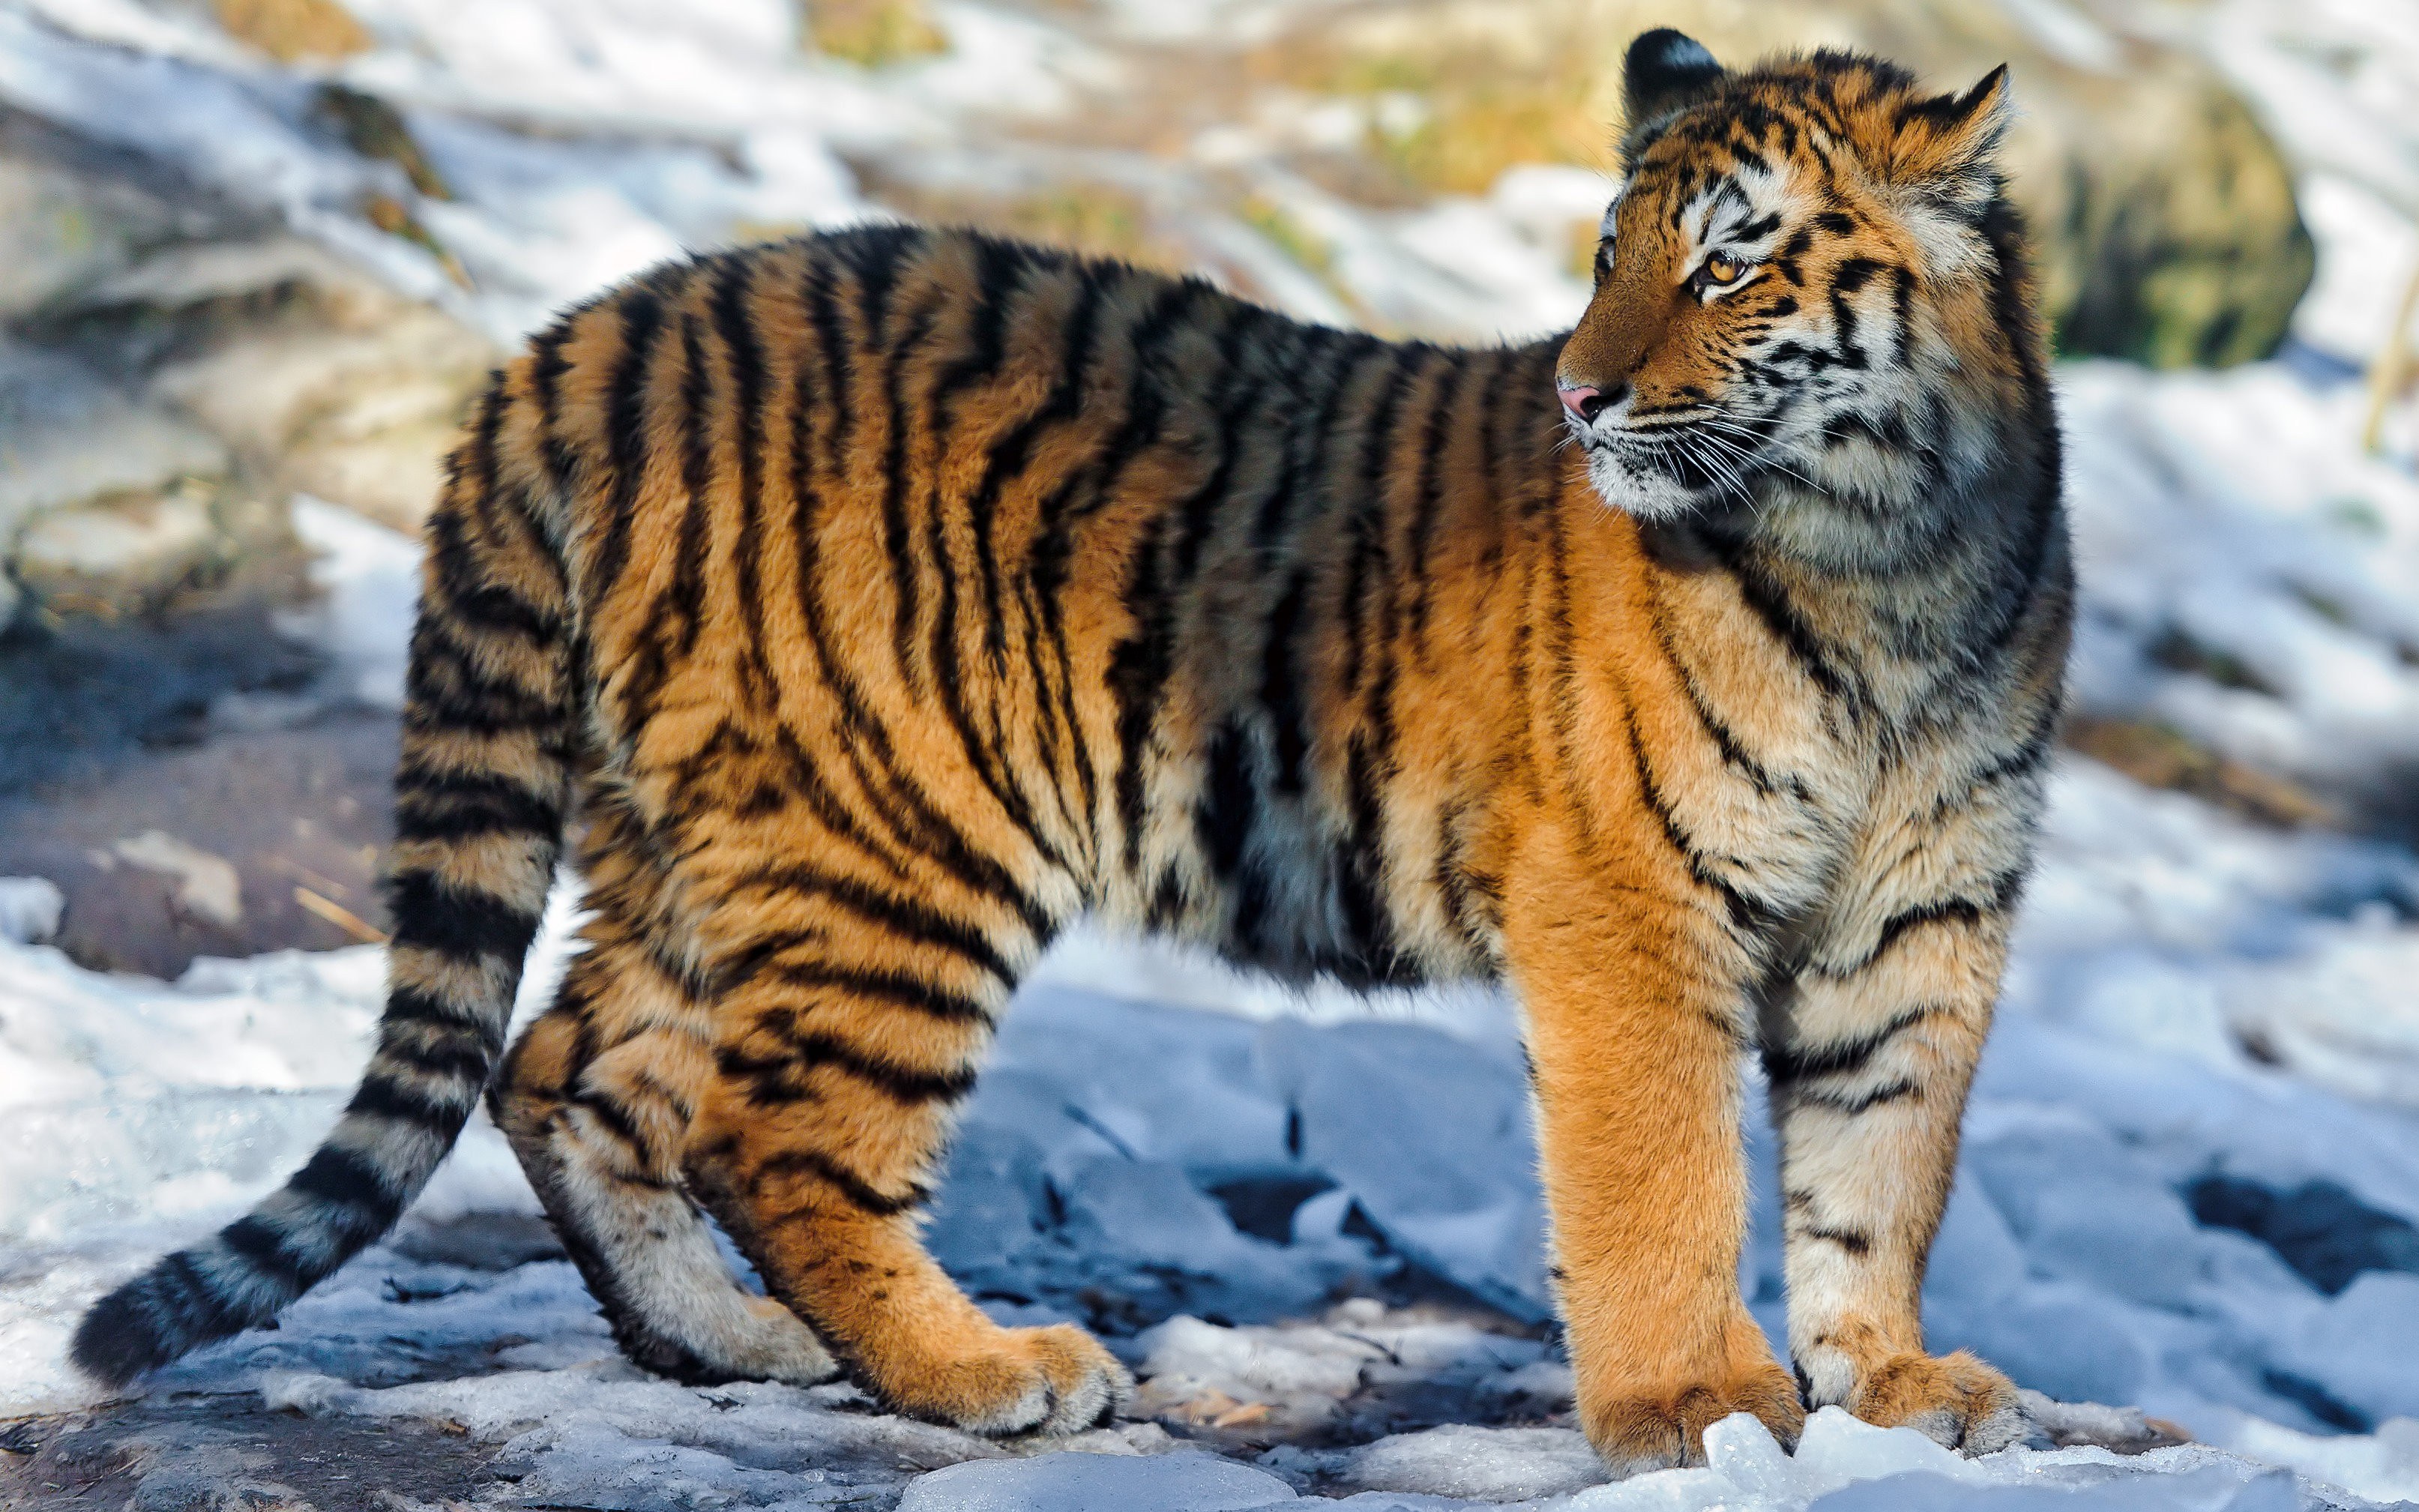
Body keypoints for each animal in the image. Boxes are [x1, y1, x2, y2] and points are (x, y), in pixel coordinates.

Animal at [75, 28, 2069, 1473]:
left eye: (1727, 267)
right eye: (1604, 260)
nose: (1578, 396)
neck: (1893, 558)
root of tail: (590, 332)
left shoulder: (1922, 913)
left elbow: (1880, 1165)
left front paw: (1890, 1389)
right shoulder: (1630, 897)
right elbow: (1663, 1173)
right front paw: (1697, 1409)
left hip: (697, 830)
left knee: (570, 1068)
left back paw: (727, 1346)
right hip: (902, 836)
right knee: (774, 1128)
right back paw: (983, 1373)